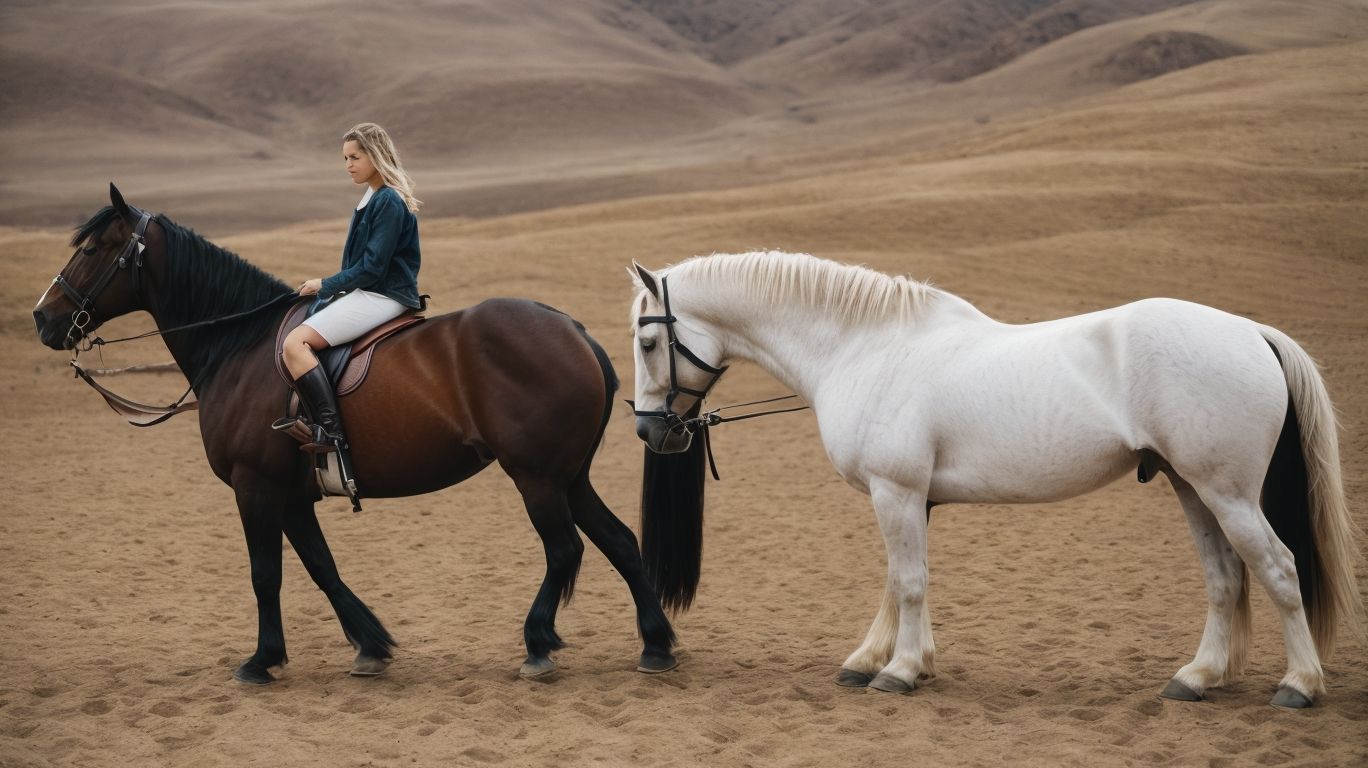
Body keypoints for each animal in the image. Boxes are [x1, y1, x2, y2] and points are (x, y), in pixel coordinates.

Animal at [31, 184, 679, 684]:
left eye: (93, 248)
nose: (43, 317)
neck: (238, 345)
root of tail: (574, 330)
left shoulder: (255, 485)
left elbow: (266, 574)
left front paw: (261, 661)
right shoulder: (290, 494)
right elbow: (321, 568)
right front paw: (370, 646)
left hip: (538, 477)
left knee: (565, 549)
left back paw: (539, 643)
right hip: (569, 476)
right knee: (619, 542)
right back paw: (655, 645)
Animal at [627, 250, 1362, 709]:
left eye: (645, 339)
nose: (648, 430)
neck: (866, 348)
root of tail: (1250, 332)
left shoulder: (896, 492)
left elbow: (908, 582)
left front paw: (897, 671)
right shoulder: (911, 498)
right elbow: (899, 583)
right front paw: (885, 661)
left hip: (1226, 492)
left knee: (1280, 570)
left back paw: (1300, 684)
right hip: (1192, 488)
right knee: (1225, 579)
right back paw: (1198, 677)